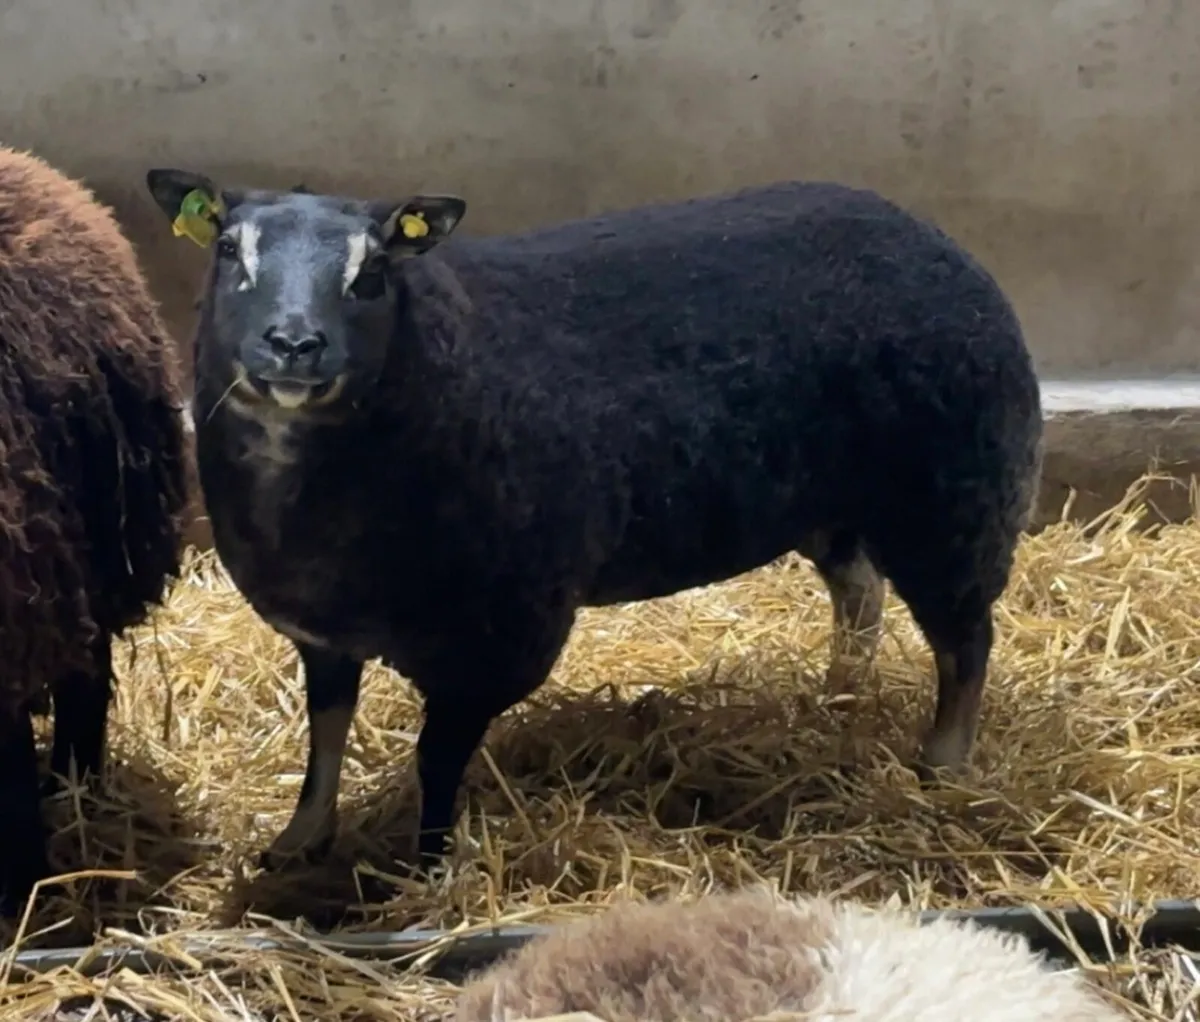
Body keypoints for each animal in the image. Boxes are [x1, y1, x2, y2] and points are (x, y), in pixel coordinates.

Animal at [143, 169, 1044, 874]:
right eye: (230, 252)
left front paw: (428, 867)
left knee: (966, 642)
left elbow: (436, 762)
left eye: (372, 274)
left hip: (953, 499)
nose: (294, 344)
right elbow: (324, 733)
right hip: (835, 502)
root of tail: (923, 229)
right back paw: (839, 695)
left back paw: (944, 765)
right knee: (860, 594)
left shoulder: (497, 639)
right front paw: (300, 837)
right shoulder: (325, 631)